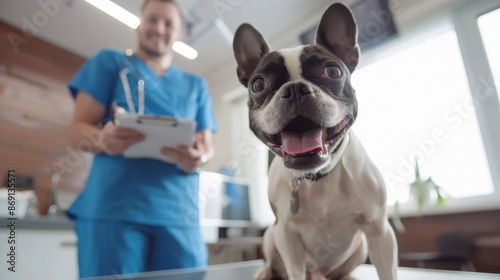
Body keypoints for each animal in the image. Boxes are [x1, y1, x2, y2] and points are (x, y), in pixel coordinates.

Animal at [231, 2, 398, 280]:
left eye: (332, 71)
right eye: (257, 84)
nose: (295, 89)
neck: (318, 176)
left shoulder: (379, 231)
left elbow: (388, 272)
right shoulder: (287, 235)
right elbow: (293, 271)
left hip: (362, 245)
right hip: (271, 236)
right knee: (273, 263)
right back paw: (264, 273)